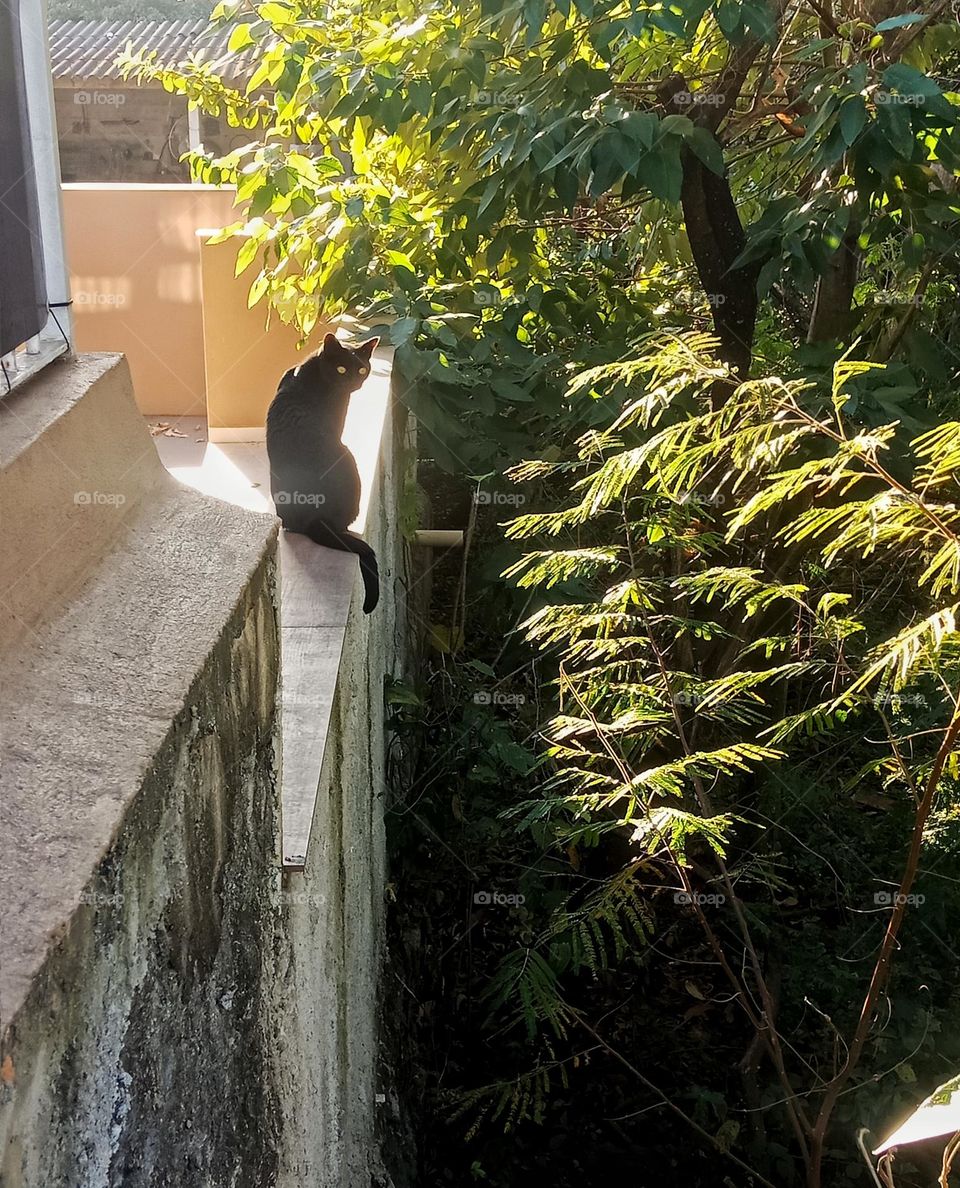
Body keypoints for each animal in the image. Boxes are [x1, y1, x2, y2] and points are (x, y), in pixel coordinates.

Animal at [266, 332, 382, 613]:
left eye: (361, 369)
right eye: (341, 369)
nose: (353, 382)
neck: (311, 374)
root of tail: (315, 521)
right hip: (348, 459)